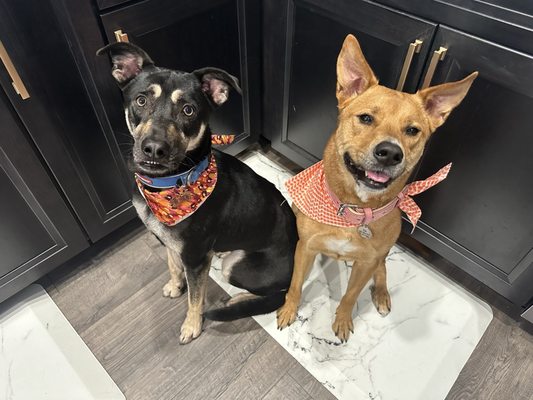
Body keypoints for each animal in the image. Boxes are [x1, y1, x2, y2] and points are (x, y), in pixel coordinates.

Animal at [97, 43, 298, 344]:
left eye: (188, 110)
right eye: (141, 101)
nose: (154, 149)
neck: (170, 184)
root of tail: (295, 275)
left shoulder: (194, 257)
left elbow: (195, 296)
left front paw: (191, 325)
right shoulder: (172, 243)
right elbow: (173, 264)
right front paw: (174, 285)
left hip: (236, 265)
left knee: (272, 296)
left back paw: (236, 299)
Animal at [276, 34, 476, 342]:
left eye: (412, 130)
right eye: (366, 118)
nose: (391, 153)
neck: (352, 210)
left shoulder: (366, 263)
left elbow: (349, 295)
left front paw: (343, 320)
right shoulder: (306, 247)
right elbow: (296, 284)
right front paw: (288, 309)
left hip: (379, 256)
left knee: (382, 270)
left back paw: (381, 295)